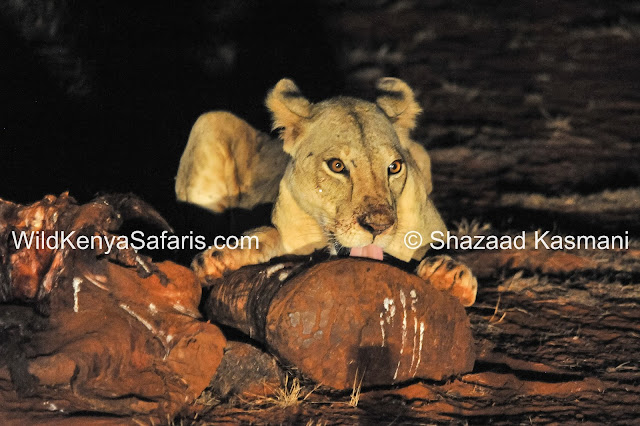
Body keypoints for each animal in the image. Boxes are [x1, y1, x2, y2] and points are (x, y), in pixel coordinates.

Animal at [176, 77, 477, 306]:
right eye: (337, 166)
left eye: (394, 167)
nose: (378, 226)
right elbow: (264, 234)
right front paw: (220, 258)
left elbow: (446, 244)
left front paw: (450, 273)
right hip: (209, 121)